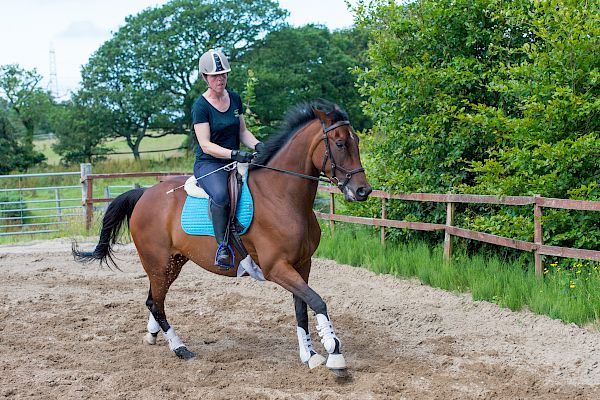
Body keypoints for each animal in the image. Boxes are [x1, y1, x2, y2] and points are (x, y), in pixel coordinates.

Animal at [71, 100, 370, 376]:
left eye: (355, 141)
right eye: (340, 144)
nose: (363, 191)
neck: (282, 196)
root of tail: (144, 193)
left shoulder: (302, 264)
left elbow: (301, 308)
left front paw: (310, 355)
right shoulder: (277, 268)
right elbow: (317, 301)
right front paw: (335, 354)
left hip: (172, 263)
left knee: (154, 300)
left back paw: (153, 334)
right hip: (158, 264)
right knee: (156, 303)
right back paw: (180, 348)